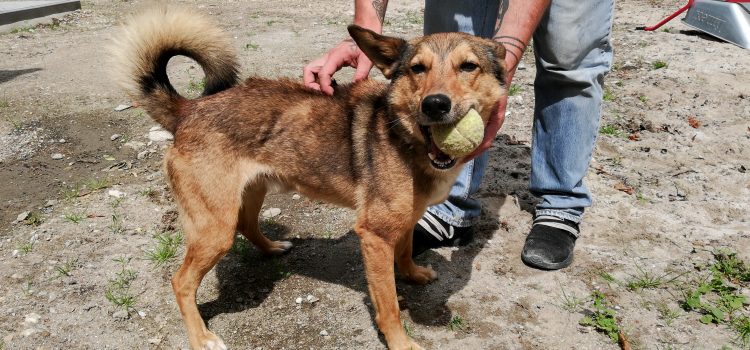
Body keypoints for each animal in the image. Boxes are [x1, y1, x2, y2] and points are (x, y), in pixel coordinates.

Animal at [113, 5, 506, 350]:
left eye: (468, 66)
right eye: (417, 69)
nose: (435, 104)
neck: (406, 137)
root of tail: (189, 109)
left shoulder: (405, 218)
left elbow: (406, 249)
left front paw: (412, 273)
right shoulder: (374, 236)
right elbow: (389, 306)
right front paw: (401, 342)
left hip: (251, 193)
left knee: (248, 224)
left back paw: (272, 247)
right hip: (214, 229)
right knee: (180, 282)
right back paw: (201, 337)